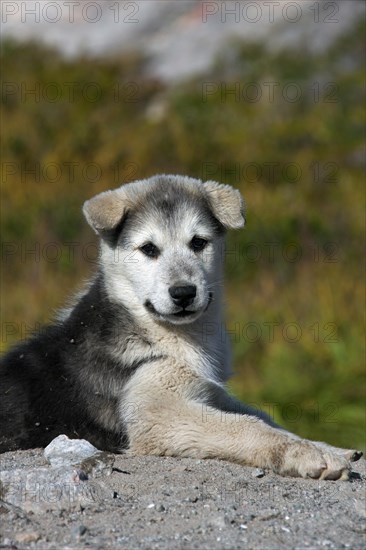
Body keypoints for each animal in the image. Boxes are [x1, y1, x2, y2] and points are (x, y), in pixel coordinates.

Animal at [0, 175, 360, 480]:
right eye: (148, 249)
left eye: (198, 243)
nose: (184, 293)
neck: (161, 335)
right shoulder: (157, 412)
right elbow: (246, 425)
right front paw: (302, 453)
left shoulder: (209, 393)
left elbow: (266, 418)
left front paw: (328, 448)